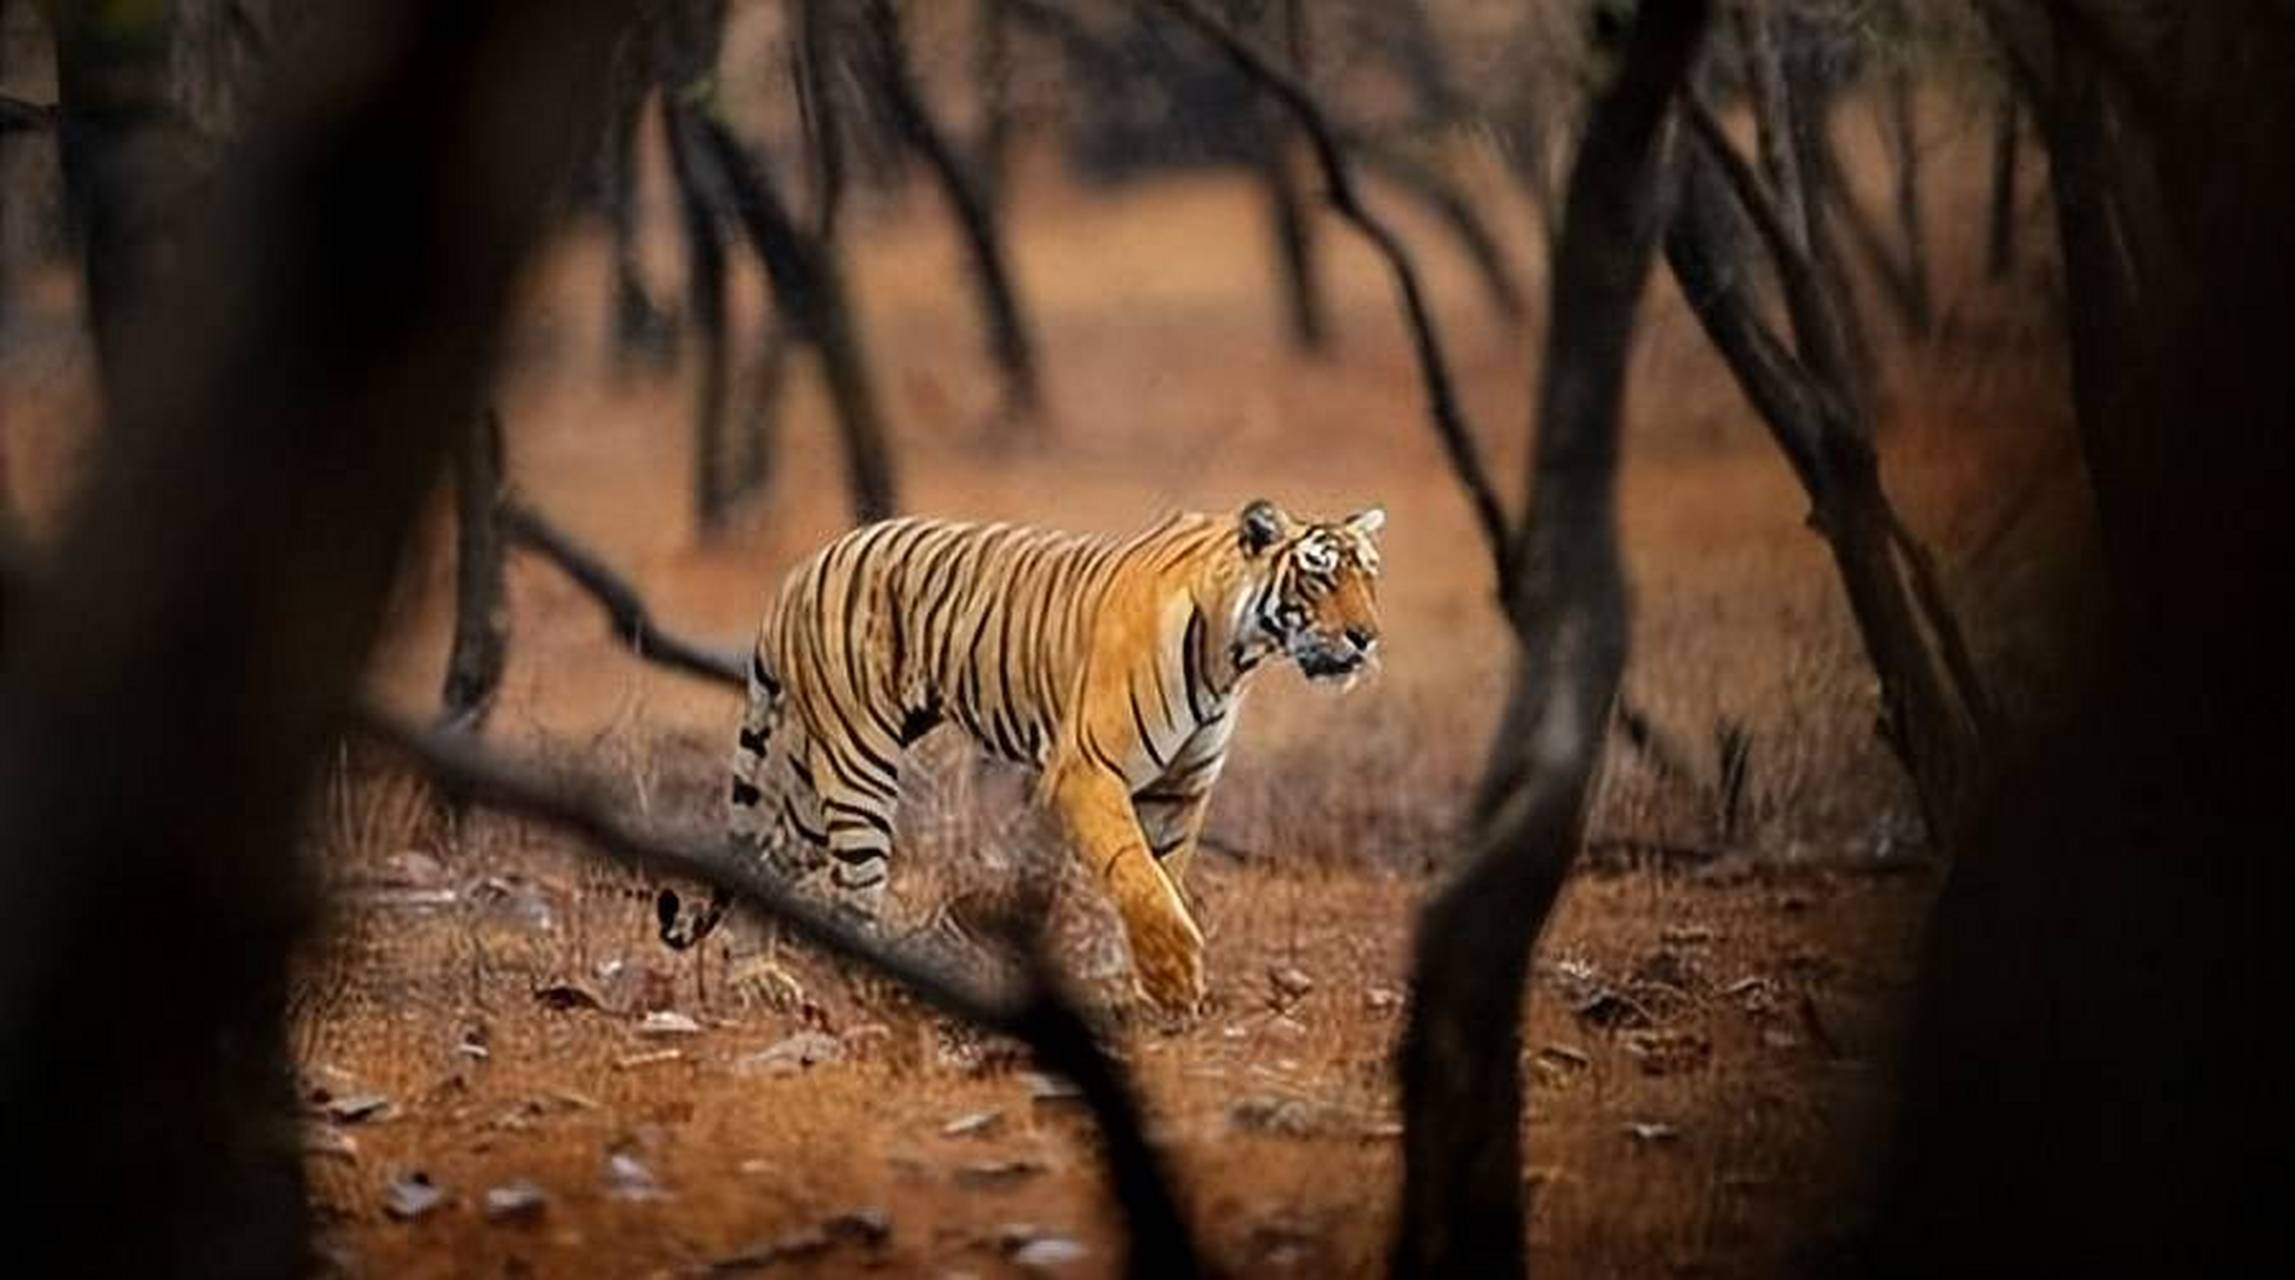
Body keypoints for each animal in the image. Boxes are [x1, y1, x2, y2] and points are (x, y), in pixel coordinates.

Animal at [656, 502, 1386, 1013]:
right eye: (1320, 577)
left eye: (1369, 578)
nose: (1367, 637)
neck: (1233, 655)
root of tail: (799, 571)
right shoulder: (1087, 768)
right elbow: (1136, 874)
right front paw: (1174, 979)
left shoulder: (1179, 788)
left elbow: (1161, 876)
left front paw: (1139, 987)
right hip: (859, 765)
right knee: (851, 890)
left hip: (814, 784)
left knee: (763, 856)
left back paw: (758, 979)